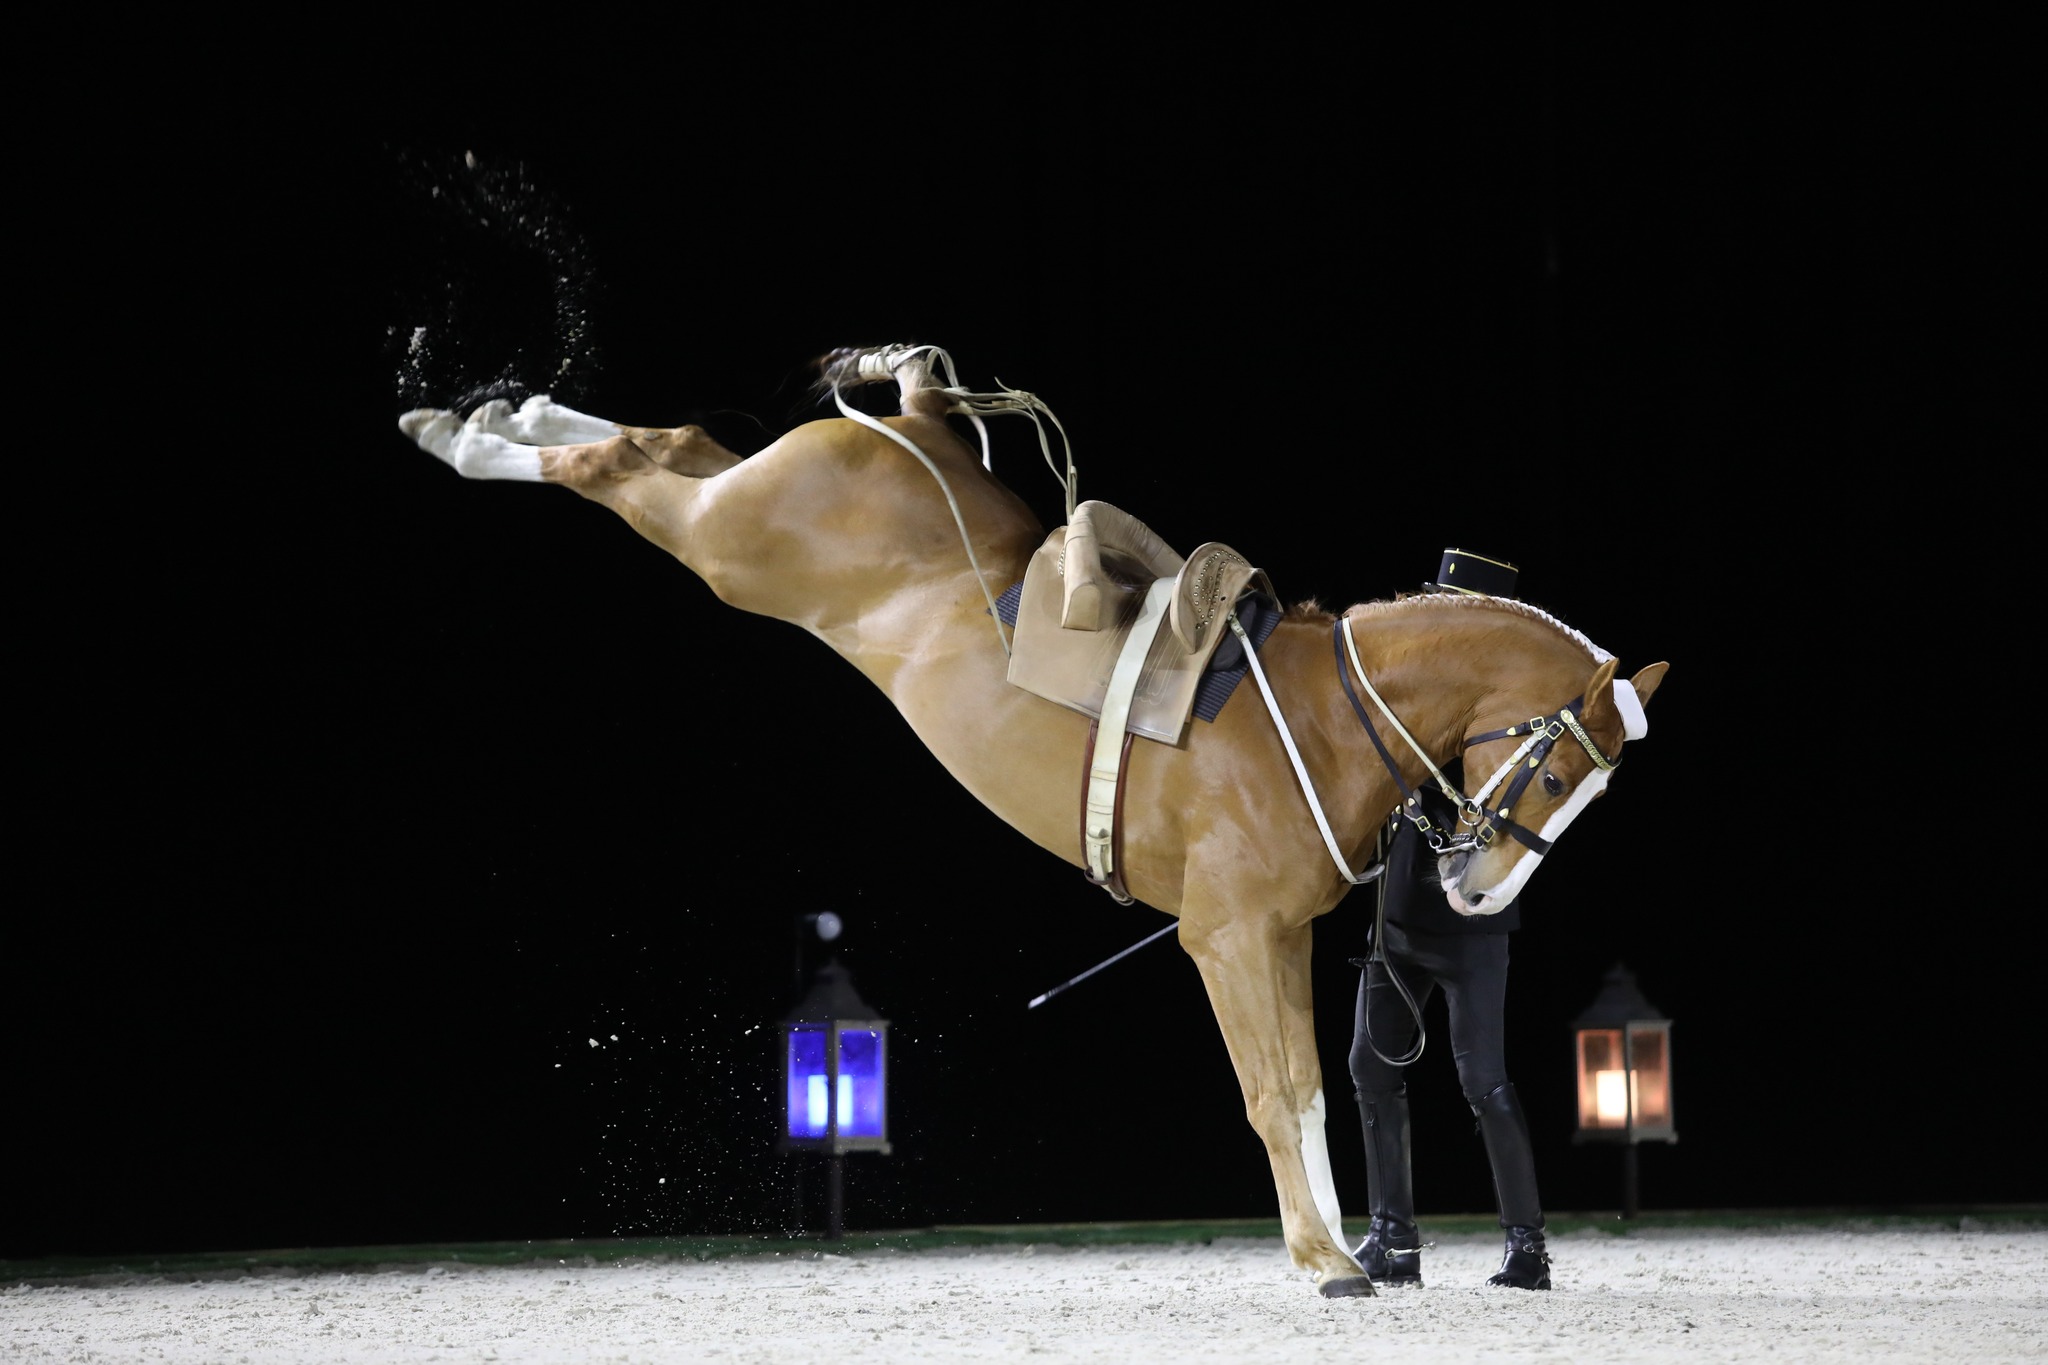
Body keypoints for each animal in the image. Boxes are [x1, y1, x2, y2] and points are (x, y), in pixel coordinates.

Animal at [395, 347, 1662, 1301]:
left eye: (1590, 791)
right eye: (1560, 770)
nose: (1477, 894)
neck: (1317, 717)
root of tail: (915, 426)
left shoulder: (1281, 939)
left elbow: (1308, 1088)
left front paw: (1336, 1251)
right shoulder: (1225, 938)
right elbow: (1272, 1092)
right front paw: (1323, 1260)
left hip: (740, 515)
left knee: (669, 445)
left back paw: (501, 409)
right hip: (735, 550)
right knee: (621, 464)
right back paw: (464, 433)